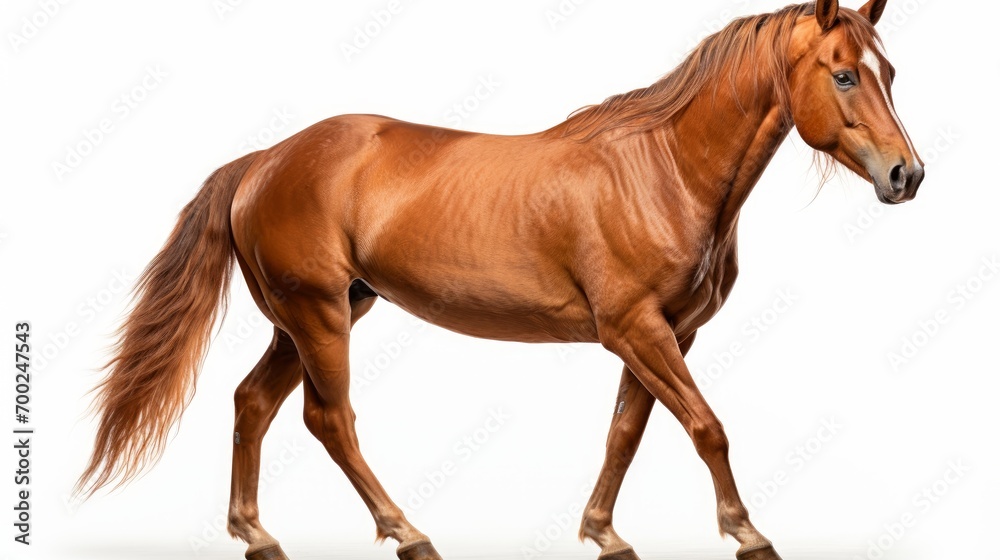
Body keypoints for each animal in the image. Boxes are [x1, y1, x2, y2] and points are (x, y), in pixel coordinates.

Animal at [77, 1, 923, 559]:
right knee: (330, 420)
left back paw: (257, 535)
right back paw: (409, 533)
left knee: (253, 402)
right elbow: (706, 425)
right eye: (843, 75)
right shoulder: (635, 328)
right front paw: (747, 533)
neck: (662, 172)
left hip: (318, 314)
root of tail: (263, 161)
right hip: (317, 316)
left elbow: (627, 432)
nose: (906, 175)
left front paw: (605, 534)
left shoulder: (665, 334)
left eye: (887, 71)